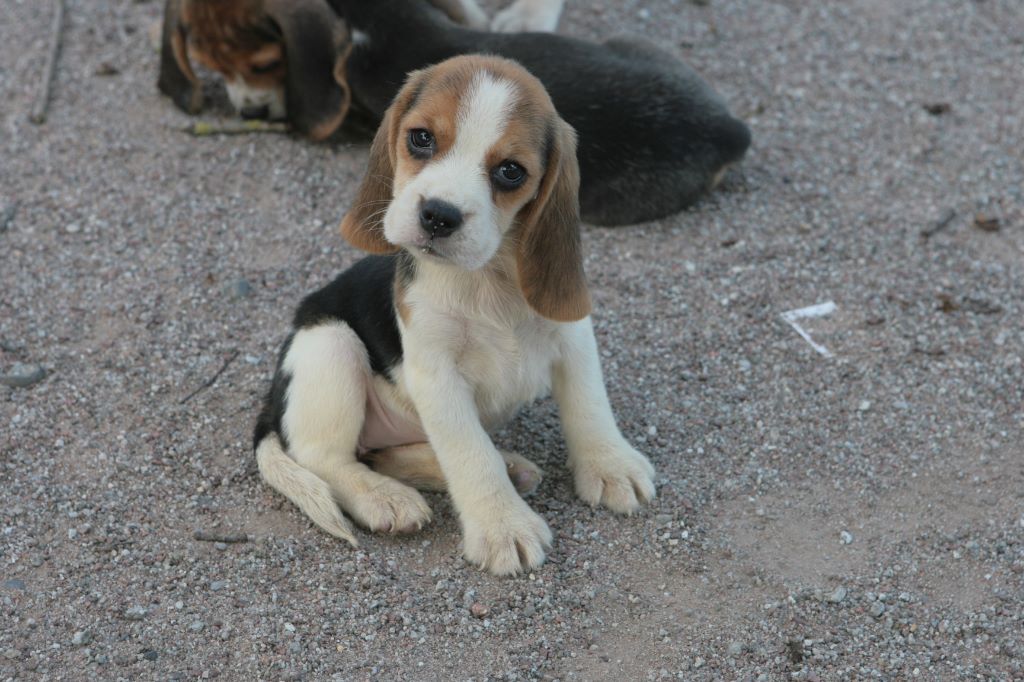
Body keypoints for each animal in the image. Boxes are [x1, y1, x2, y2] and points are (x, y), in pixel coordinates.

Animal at [254, 55, 655, 573]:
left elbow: (589, 404)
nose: (438, 216)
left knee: (380, 454)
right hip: (329, 343)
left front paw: (610, 465)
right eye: (421, 138)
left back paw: (504, 468)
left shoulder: (573, 336)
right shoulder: (437, 374)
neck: (487, 277)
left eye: (510, 171)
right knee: (322, 457)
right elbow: (471, 453)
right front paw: (503, 526)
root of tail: (270, 405)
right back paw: (383, 497)